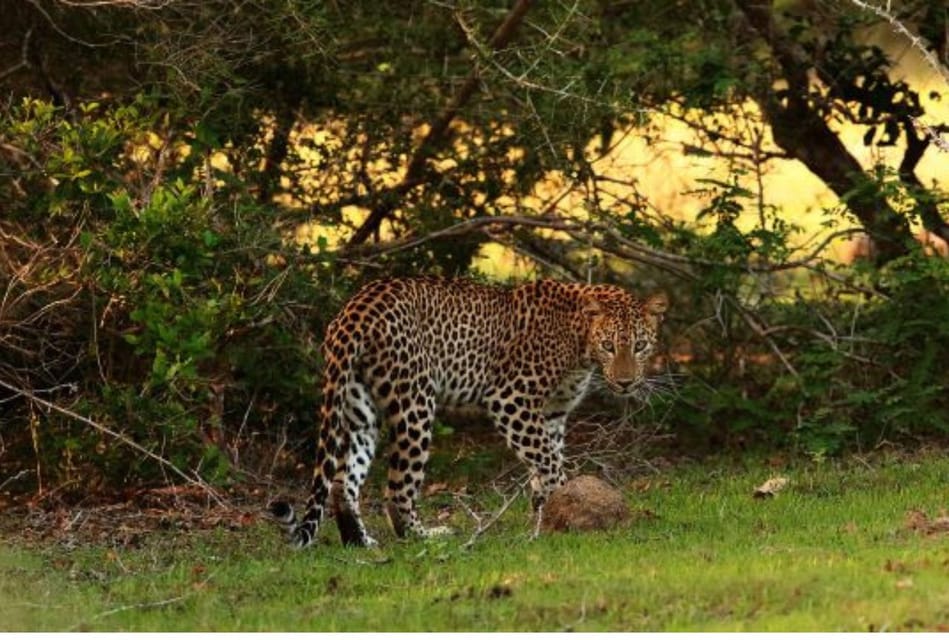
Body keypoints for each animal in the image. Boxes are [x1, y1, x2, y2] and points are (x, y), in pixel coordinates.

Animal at [266, 276, 668, 552]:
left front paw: (544, 513)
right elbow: (551, 464)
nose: (626, 382)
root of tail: (356, 307)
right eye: (609, 345)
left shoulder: (552, 412)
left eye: (640, 345)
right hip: (416, 403)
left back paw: (360, 542)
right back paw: (425, 537)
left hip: (361, 408)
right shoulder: (510, 399)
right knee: (397, 488)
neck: (579, 341)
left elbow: (544, 462)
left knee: (341, 482)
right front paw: (564, 508)